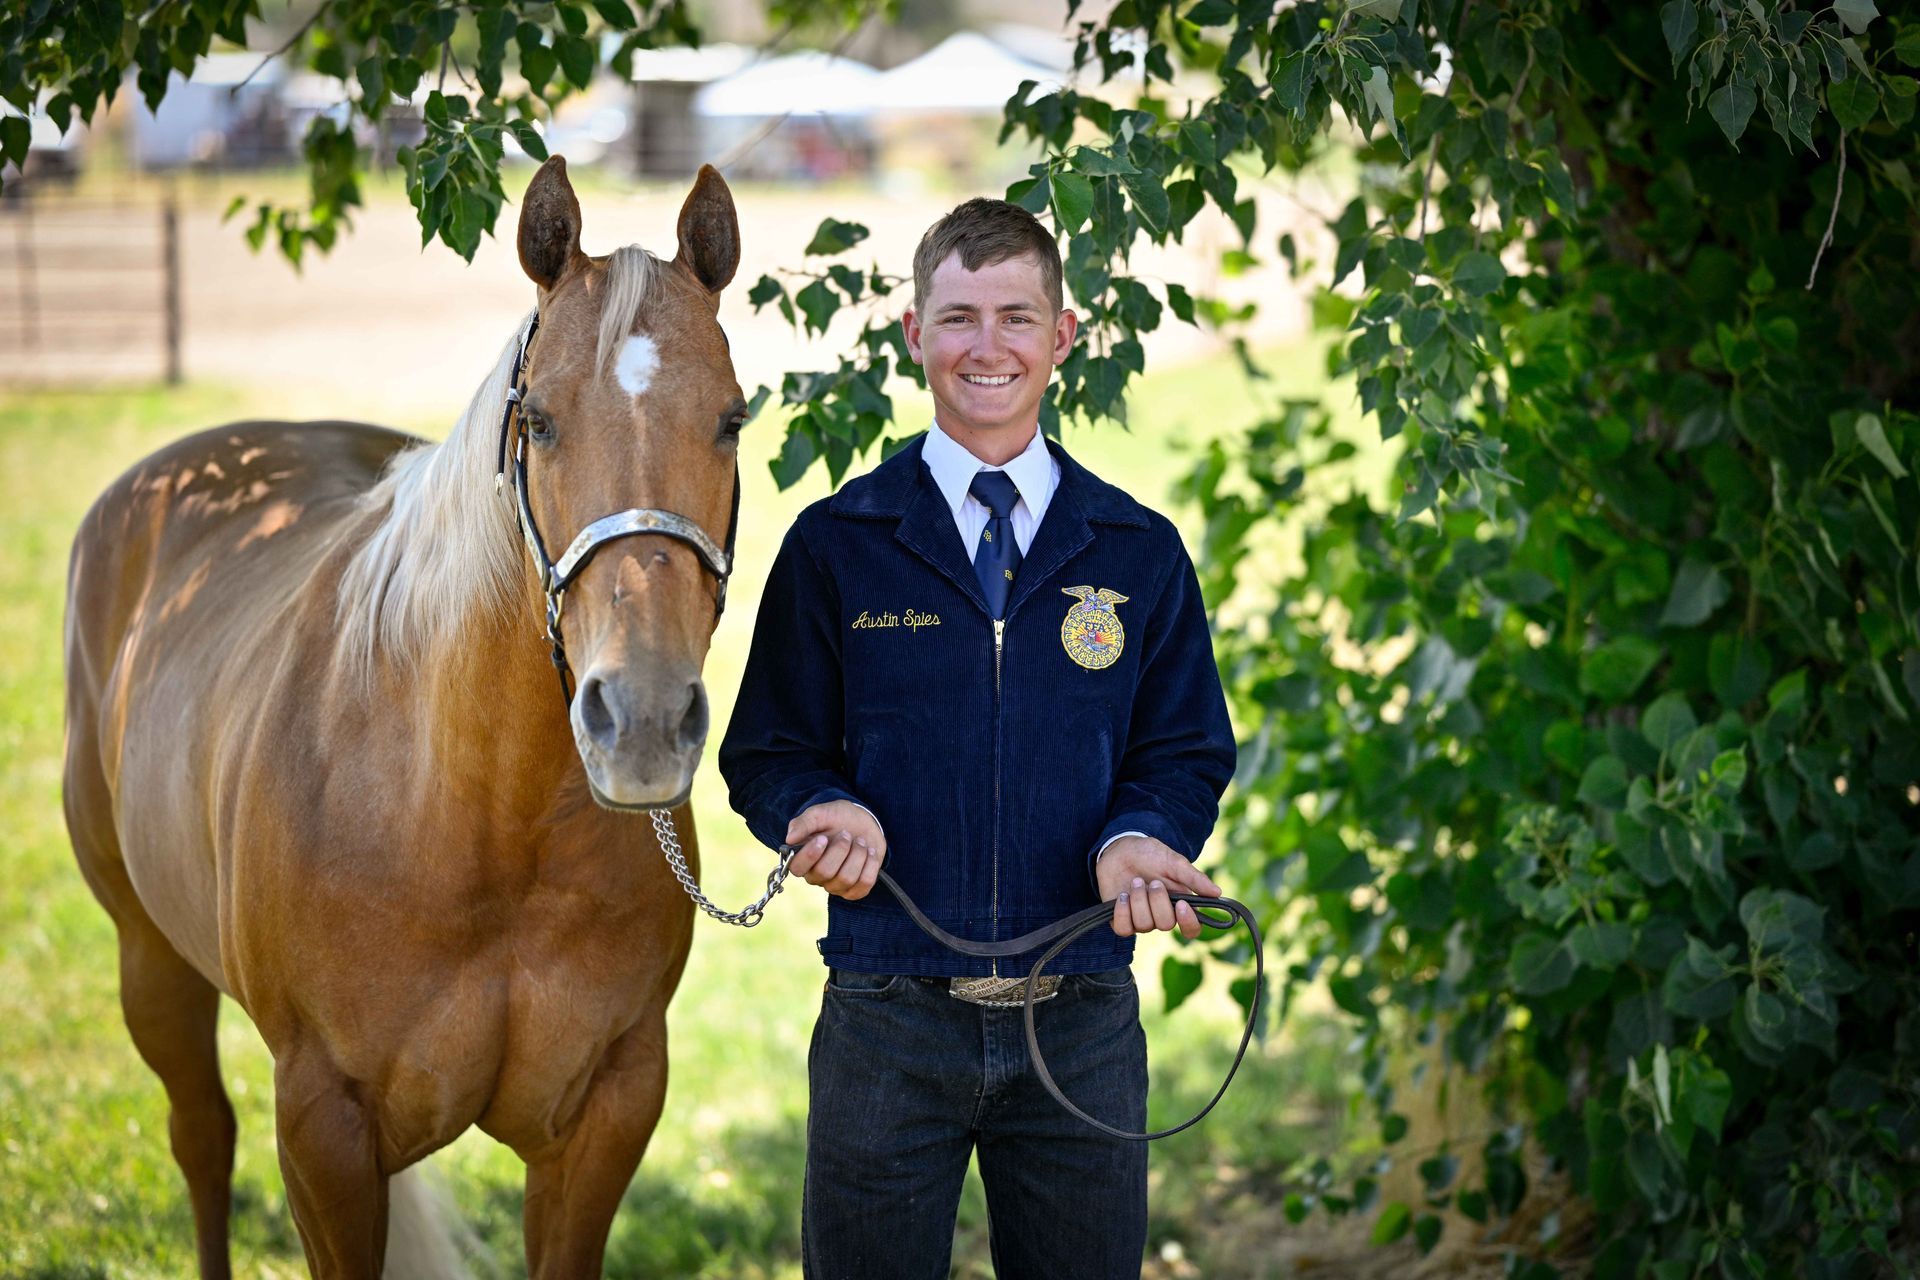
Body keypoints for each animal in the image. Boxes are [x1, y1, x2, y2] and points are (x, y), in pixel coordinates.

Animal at [60, 155, 746, 1278]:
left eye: (731, 419)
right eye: (538, 419)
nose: (642, 718)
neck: (472, 816)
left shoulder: (607, 1111)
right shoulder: (322, 1128)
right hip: (149, 959)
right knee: (201, 1138)